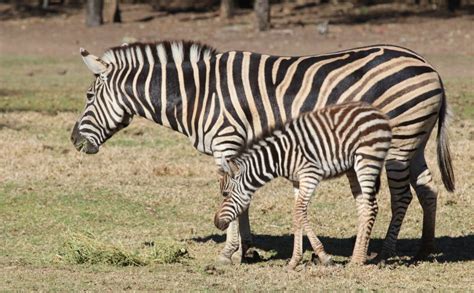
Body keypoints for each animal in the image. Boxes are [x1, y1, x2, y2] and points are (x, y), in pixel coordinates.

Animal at [215, 102, 392, 266]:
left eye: (225, 194)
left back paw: (358, 261)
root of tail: (379, 113)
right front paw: (294, 261)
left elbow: (299, 210)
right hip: (353, 168)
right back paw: (356, 256)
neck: (279, 156)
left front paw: (325, 258)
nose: (216, 223)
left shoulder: (310, 175)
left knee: (371, 207)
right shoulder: (297, 180)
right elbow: (296, 214)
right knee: (363, 206)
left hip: (367, 160)